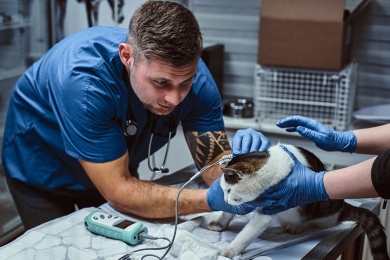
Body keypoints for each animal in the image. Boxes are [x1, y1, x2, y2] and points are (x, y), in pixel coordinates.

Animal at [203, 143, 388, 258]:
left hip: (317, 211)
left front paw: (229, 251)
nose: (225, 200)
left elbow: (247, 234)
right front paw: (219, 221)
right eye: (222, 191)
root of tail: (341, 207)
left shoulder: (269, 209)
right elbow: (230, 213)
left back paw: (297, 226)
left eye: (228, 190)